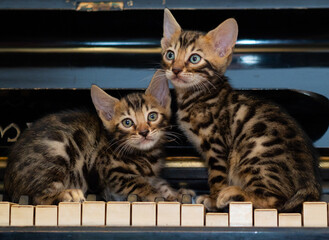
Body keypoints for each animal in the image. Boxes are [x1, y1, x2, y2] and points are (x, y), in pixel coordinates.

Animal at [4, 71, 192, 204]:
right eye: (127, 122)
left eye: (152, 116)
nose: (144, 132)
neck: (145, 155)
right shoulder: (113, 172)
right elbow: (140, 184)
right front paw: (160, 196)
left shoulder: (152, 175)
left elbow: (161, 183)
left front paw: (179, 194)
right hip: (58, 148)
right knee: (36, 197)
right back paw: (67, 193)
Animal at [160, 8, 320, 212]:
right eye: (170, 55)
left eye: (194, 58)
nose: (176, 69)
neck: (197, 94)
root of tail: (311, 185)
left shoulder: (217, 144)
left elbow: (217, 176)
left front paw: (213, 199)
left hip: (255, 153)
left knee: (274, 200)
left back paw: (232, 193)